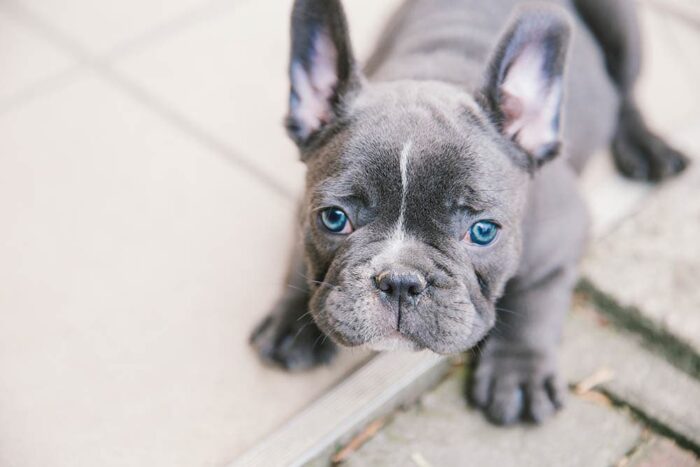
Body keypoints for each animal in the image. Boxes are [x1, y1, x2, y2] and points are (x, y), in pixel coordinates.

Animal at [250, 0, 684, 426]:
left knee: (625, 90)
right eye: (334, 218)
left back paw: (646, 146)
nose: (400, 281)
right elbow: (302, 263)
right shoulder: (302, 206)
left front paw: (518, 371)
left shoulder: (562, 235)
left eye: (483, 231)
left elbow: (534, 300)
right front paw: (292, 322)